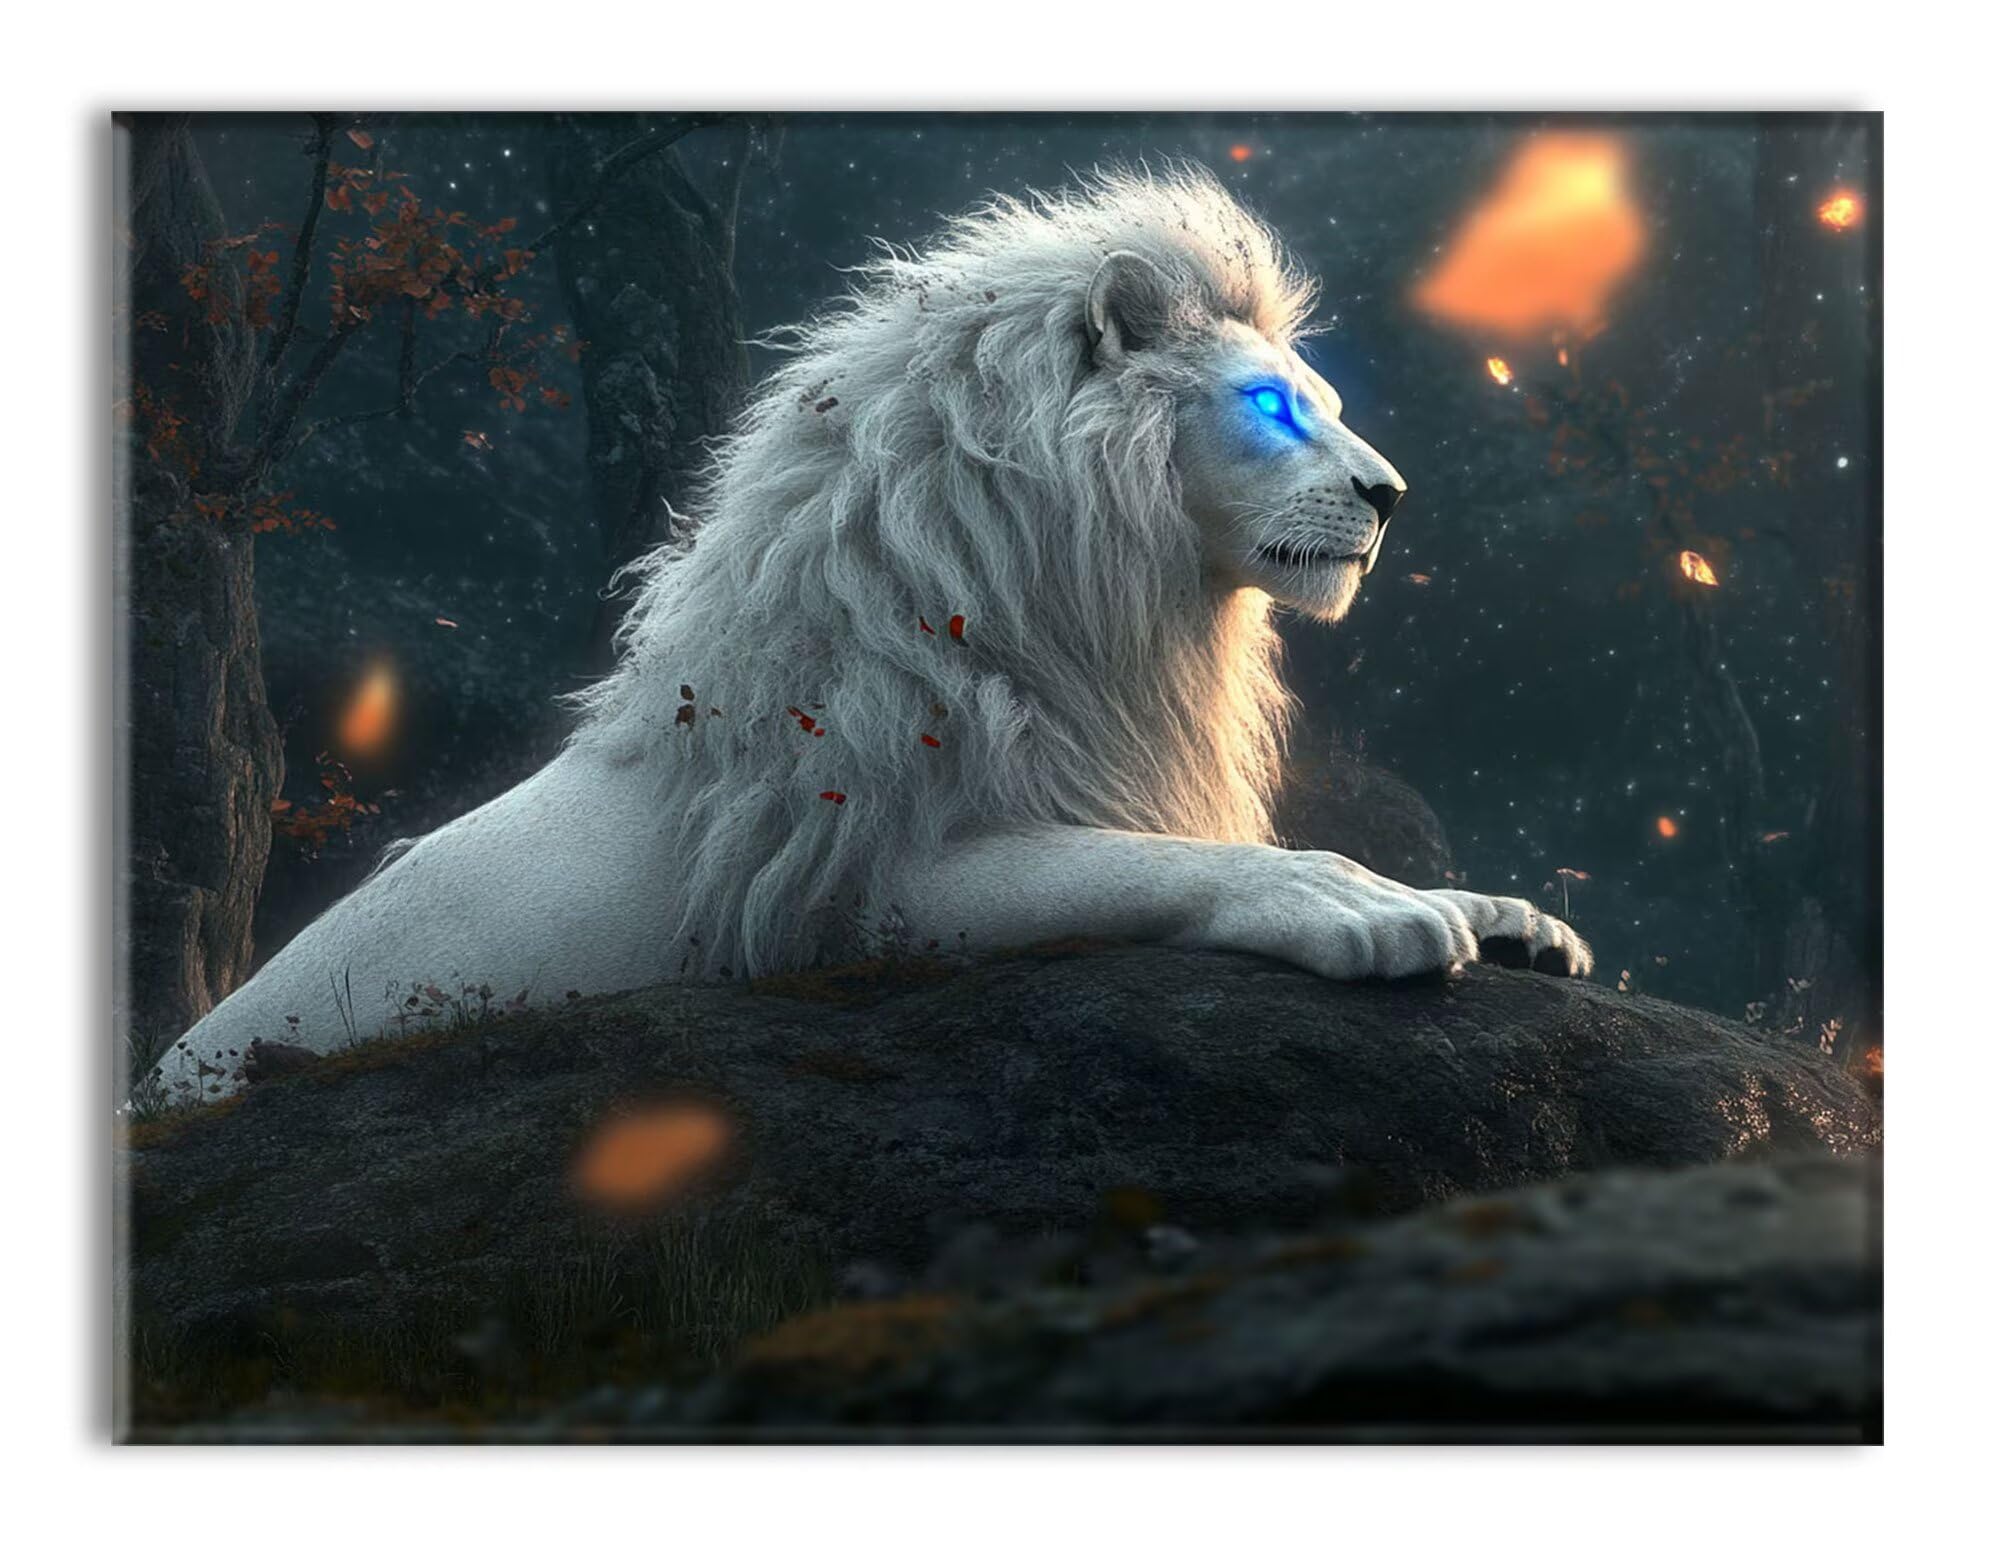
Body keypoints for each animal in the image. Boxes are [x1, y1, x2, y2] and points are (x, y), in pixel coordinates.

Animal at [154, 166, 1589, 1105]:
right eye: (1272, 408)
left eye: (1324, 401)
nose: (1390, 494)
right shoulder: (834, 894)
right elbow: (1148, 862)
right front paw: (1369, 906)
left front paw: (1505, 912)